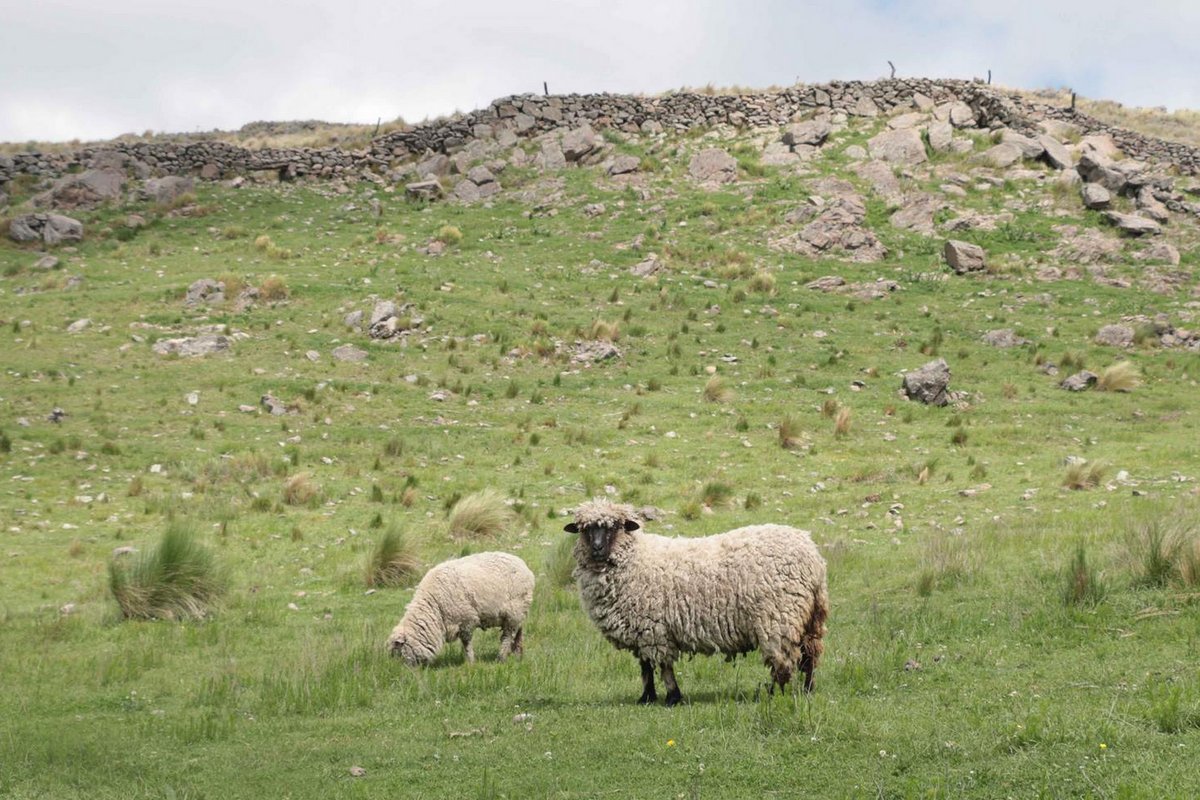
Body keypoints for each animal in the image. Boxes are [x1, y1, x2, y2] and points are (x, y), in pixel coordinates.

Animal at [386, 551, 532, 671]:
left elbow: (466, 643)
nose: (400, 671)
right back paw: (517, 654)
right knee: (517, 633)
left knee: (507, 636)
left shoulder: (466, 620)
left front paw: (470, 662)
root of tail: (524, 565)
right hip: (517, 614)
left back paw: (501, 658)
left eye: (398, 653)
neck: (435, 608)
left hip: (514, 612)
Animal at [566, 501, 830, 705]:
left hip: (778, 617)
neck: (635, 558)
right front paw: (647, 697)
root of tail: (812, 555)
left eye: (615, 526)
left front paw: (673, 697)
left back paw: (775, 694)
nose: (598, 548)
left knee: (783, 661)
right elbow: (646, 667)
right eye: (585, 529)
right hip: (809, 616)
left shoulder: (654, 629)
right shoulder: (642, 630)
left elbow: (663, 666)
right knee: (810, 654)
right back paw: (807, 690)